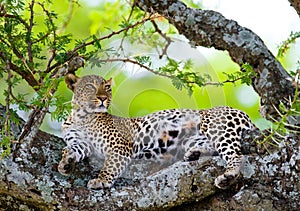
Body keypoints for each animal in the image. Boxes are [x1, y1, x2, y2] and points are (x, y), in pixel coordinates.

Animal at [58, 74, 255, 190]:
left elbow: (111, 165)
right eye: (90, 86)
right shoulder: (81, 142)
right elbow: (72, 149)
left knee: (236, 155)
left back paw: (227, 176)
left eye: (107, 87)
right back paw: (194, 153)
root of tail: (240, 111)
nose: (102, 98)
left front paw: (101, 180)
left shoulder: (119, 146)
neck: (82, 116)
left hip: (219, 130)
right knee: (210, 147)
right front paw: (65, 163)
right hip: (191, 137)